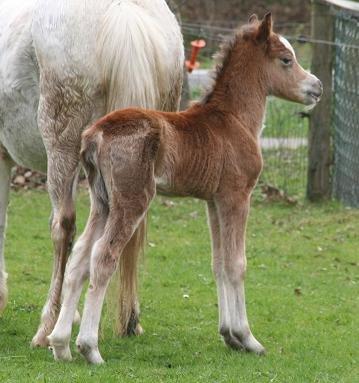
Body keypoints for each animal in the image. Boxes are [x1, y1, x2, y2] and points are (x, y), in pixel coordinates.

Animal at [48, 13, 324, 364]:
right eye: (287, 60)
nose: (316, 87)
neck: (234, 119)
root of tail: (94, 134)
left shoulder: (214, 201)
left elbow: (218, 263)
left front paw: (228, 335)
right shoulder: (237, 196)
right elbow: (237, 264)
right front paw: (248, 338)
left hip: (103, 202)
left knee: (80, 258)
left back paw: (60, 344)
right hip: (132, 201)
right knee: (103, 257)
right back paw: (89, 348)